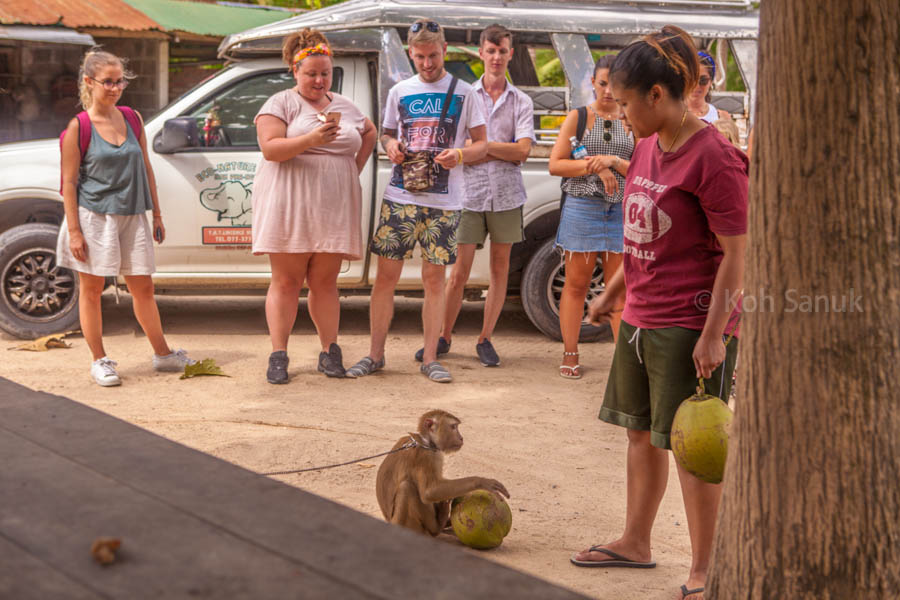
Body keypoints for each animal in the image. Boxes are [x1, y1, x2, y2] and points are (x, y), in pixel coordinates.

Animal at [376, 410, 510, 536]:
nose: (461, 437)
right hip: (410, 526)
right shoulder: (426, 456)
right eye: (453, 427)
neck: (425, 441)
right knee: (407, 488)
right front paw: (480, 482)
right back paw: (438, 525)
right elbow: (430, 491)